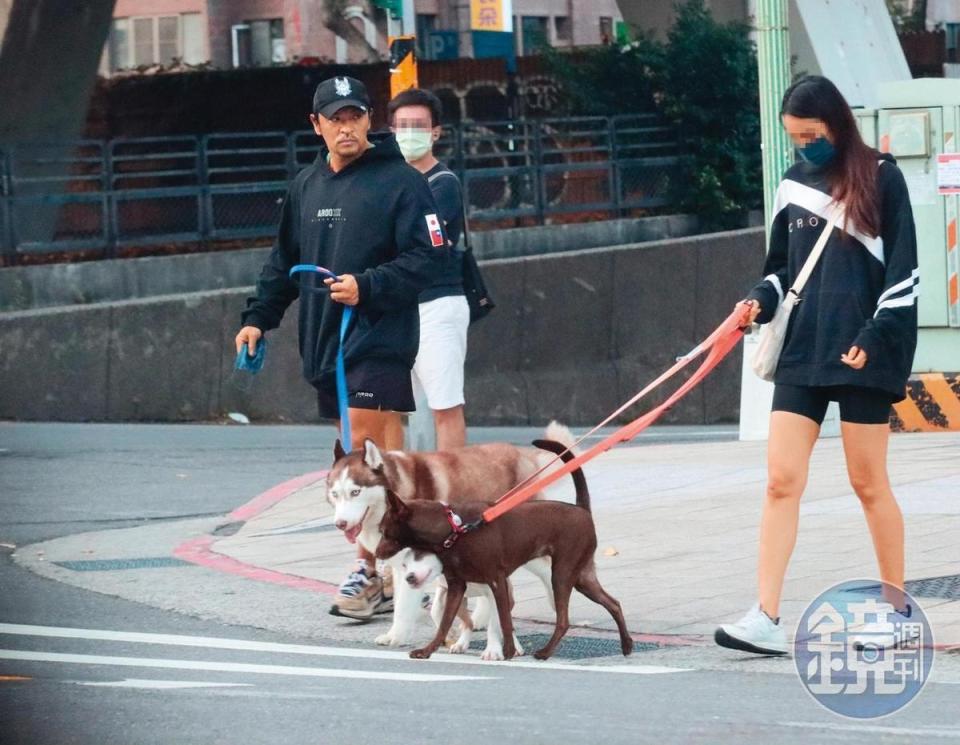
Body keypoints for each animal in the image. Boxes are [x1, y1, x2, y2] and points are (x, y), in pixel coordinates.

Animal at [376, 438, 636, 660]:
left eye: (384, 531)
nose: (377, 554)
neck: (455, 531)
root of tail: (581, 509)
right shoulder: (456, 587)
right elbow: (445, 623)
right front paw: (427, 651)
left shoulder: (497, 582)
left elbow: (503, 620)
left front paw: (508, 652)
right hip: (582, 576)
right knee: (613, 603)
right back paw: (626, 645)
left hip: (562, 574)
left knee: (563, 620)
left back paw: (545, 652)